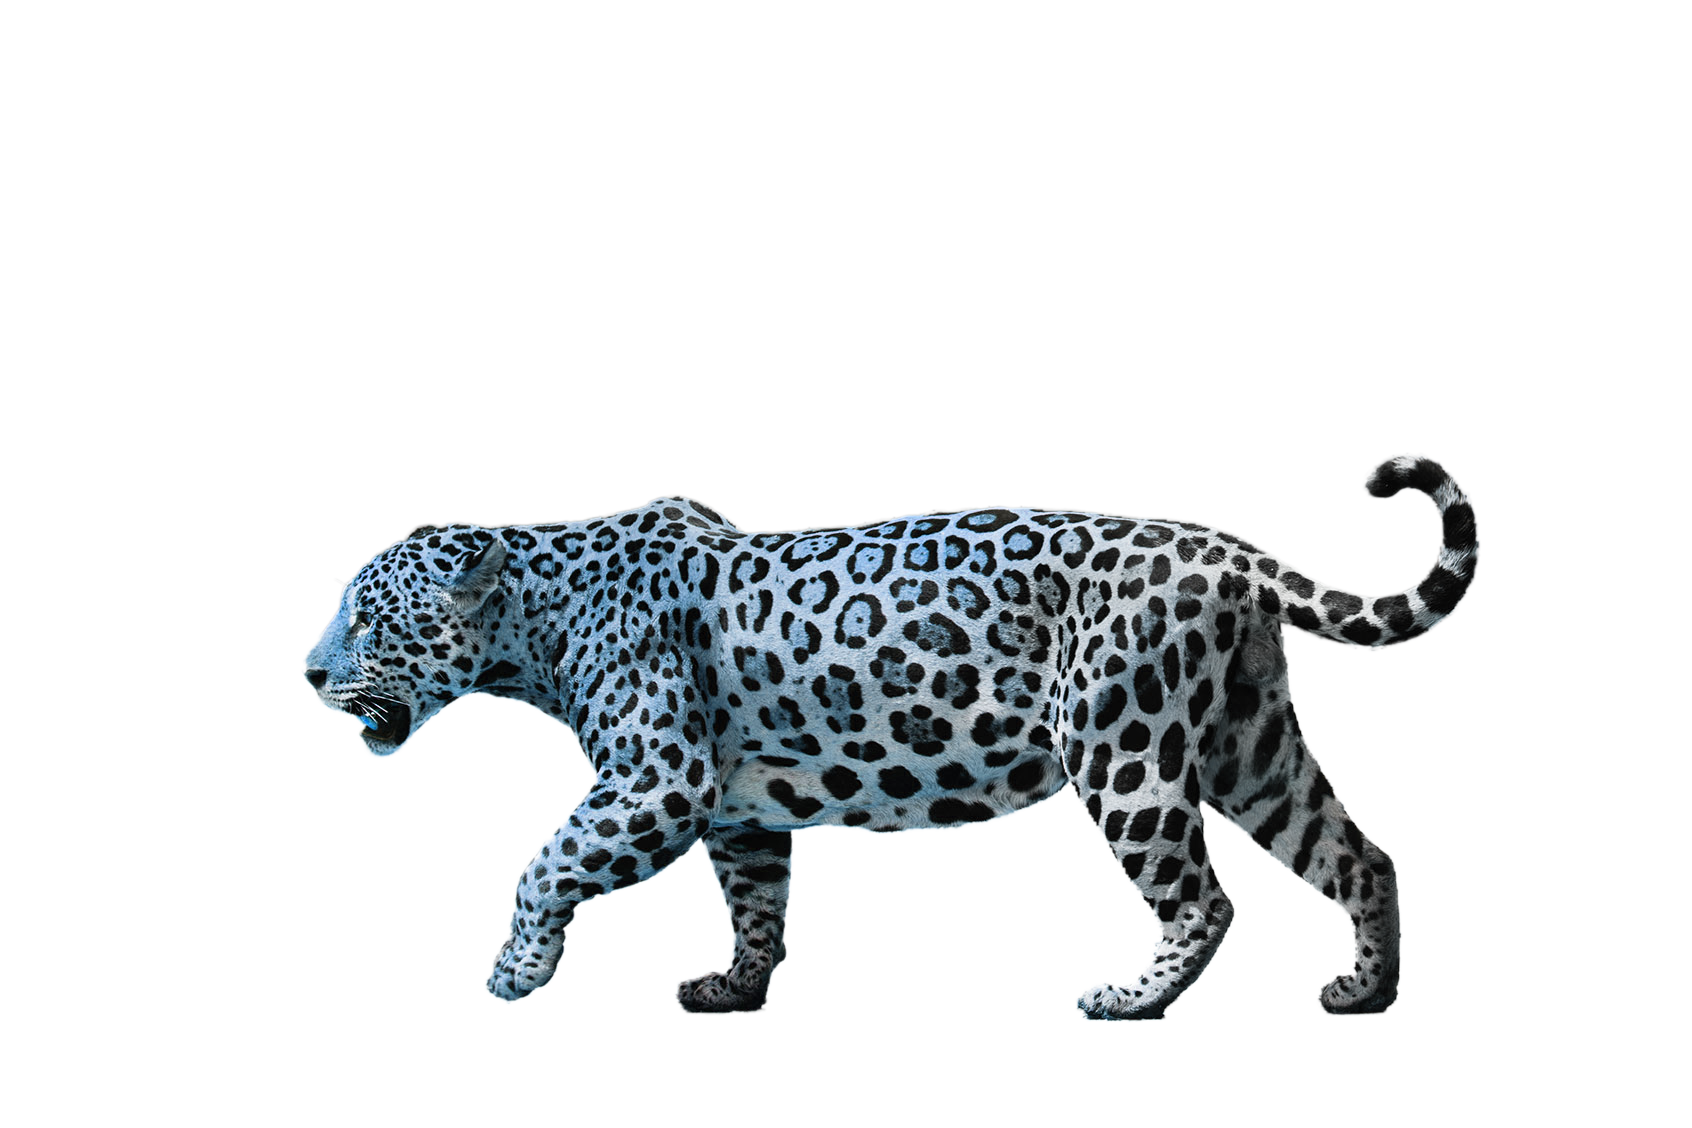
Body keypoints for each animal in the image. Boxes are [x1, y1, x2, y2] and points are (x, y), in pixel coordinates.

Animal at [302, 454, 1478, 1019]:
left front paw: (512, 973)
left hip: (1123, 746)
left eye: (364, 611)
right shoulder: (732, 804)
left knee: (1204, 898)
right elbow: (758, 897)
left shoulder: (655, 780)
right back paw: (1365, 993)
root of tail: (1224, 550)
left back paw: (1128, 1000)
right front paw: (737, 989)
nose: (309, 672)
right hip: (1249, 743)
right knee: (1359, 856)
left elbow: (542, 862)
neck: (536, 616)